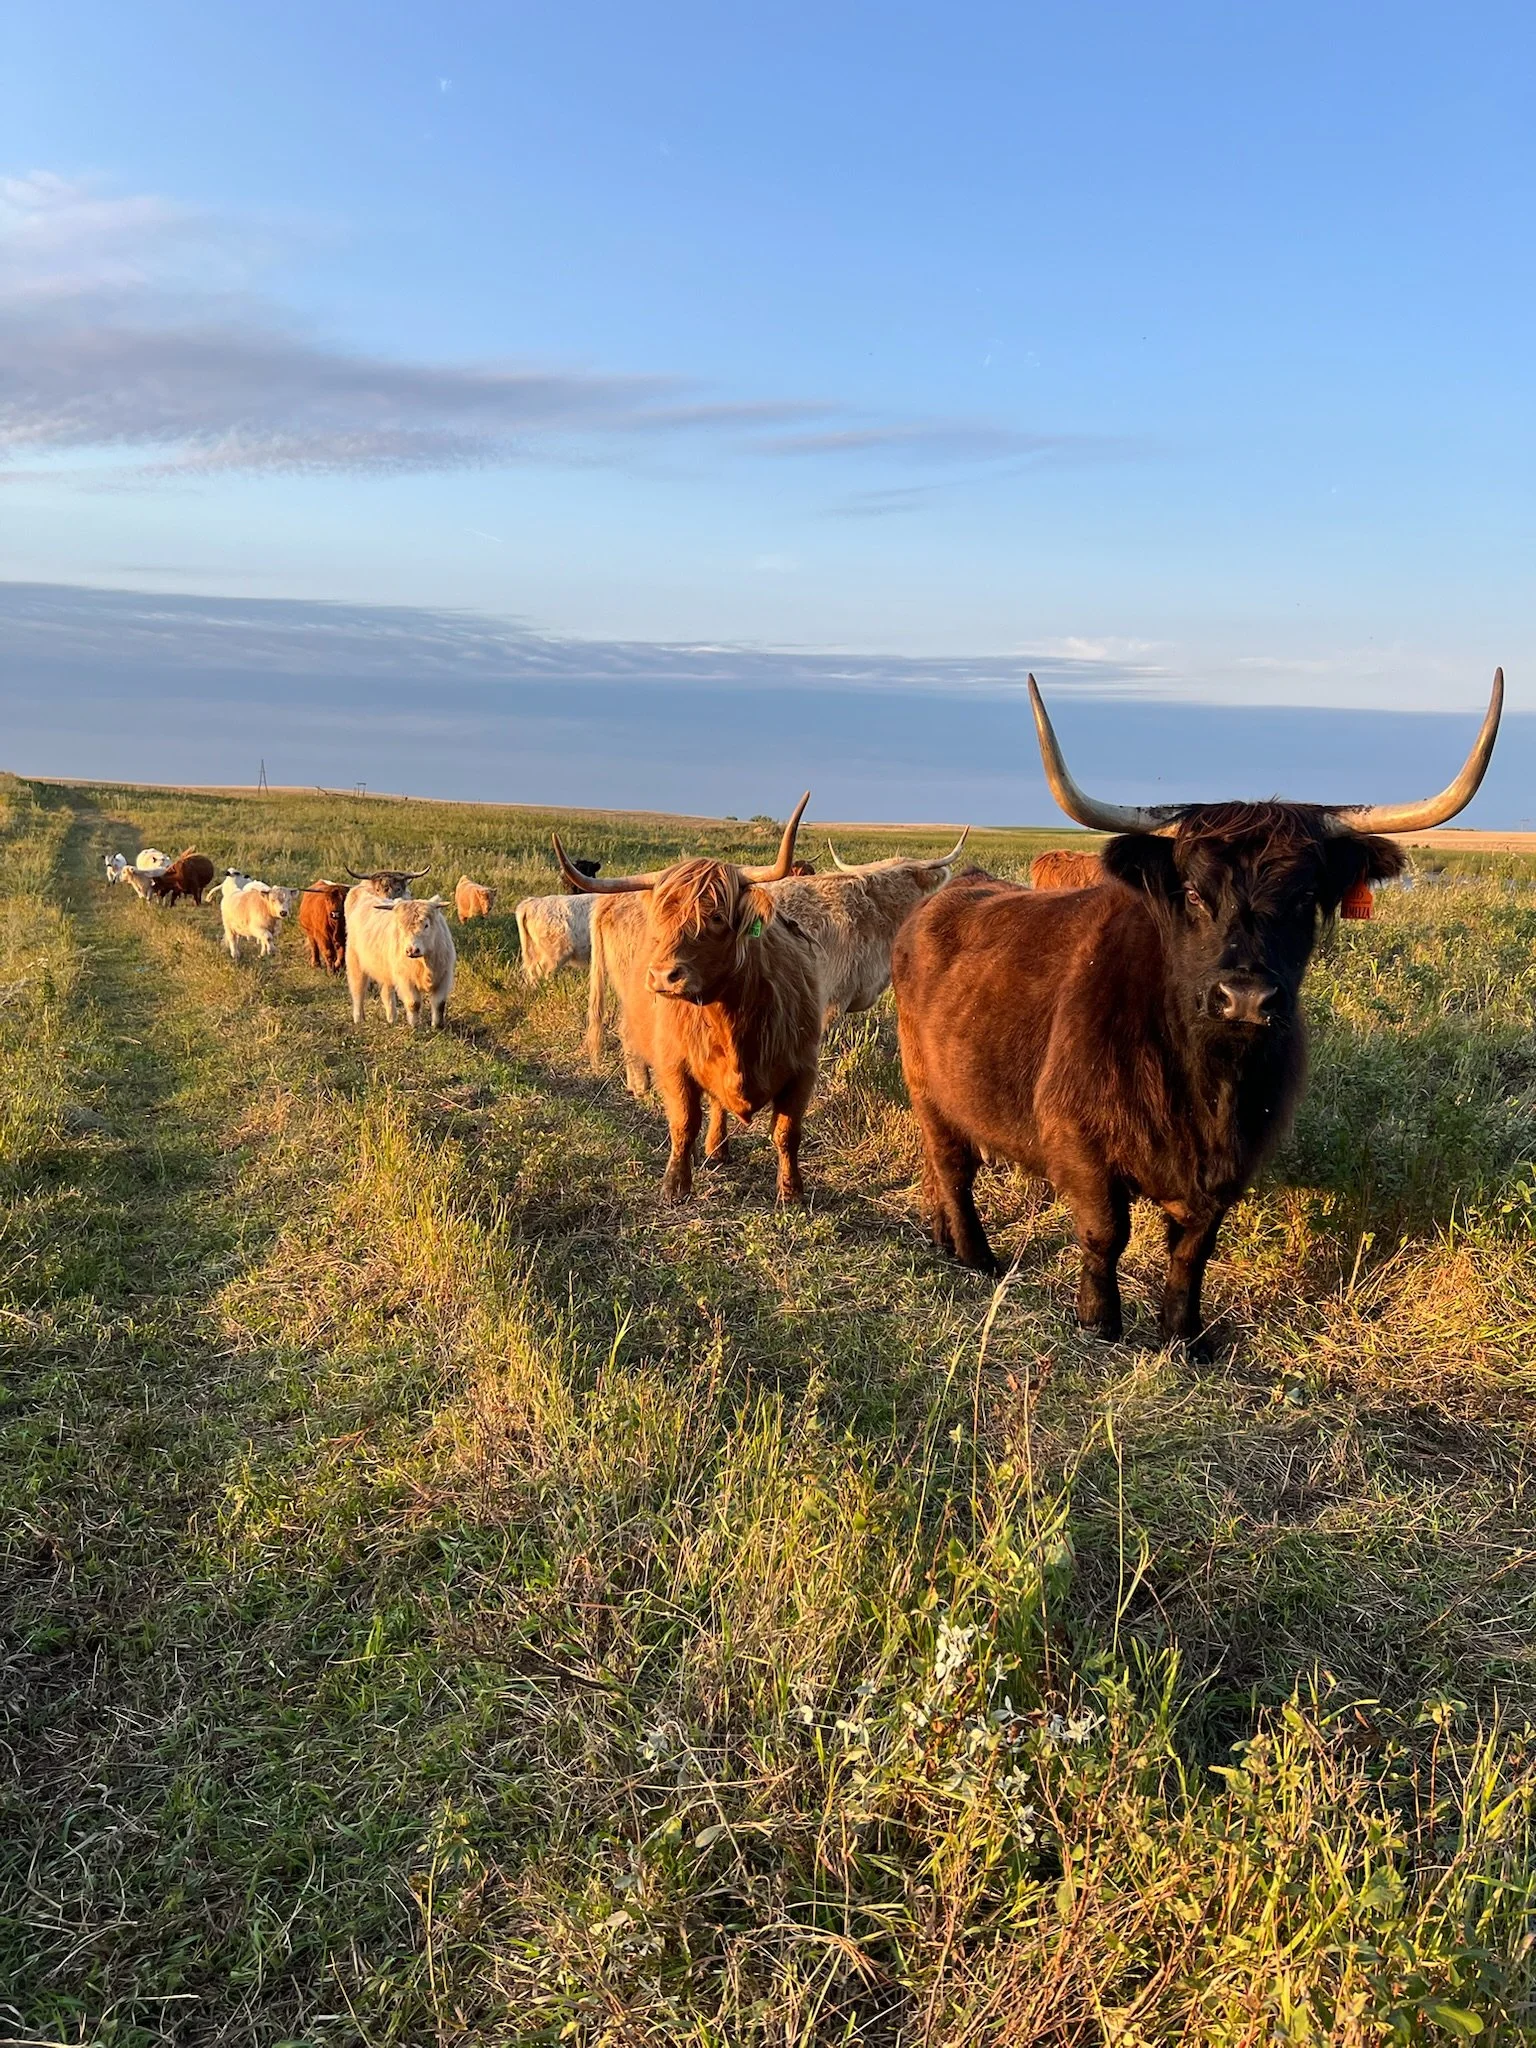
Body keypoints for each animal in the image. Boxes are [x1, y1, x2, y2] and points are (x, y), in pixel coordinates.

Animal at [345, 886, 456, 1029]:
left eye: (426, 925)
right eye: (401, 926)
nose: (412, 950)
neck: (424, 963)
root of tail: (360, 888)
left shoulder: (444, 976)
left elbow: (439, 1004)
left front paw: (437, 1026)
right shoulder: (405, 979)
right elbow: (414, 1003)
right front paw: (415, 1026)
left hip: (385, 970)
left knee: (386, 993)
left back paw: (391, 1019)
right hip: (355, 962)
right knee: (358, 990)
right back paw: (359, 1019)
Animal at [556, 796, 822, 1204]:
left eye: (716, 917)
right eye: (659, 921)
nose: (662, 976)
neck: (732, 1019)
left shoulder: (803, 1067)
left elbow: (787, 1132)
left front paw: (791, 1192)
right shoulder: (674, 1064)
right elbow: (684, 1122)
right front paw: (675, 1185)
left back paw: (718, 1149)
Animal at [892, 670, 1504, 1359]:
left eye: (1302, 897)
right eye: (1190, 892)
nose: (1246, 999)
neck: (1206, 1079)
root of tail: (951, 890)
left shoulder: (1231, 1163)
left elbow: (1193, 1251)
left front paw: (1183, 1337)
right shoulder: (1081, 1146)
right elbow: (1105, 1235)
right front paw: (1099, 1325)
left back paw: (942, 1238)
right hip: (928, 1089)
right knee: (953, 1166)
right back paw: (975, 1257)